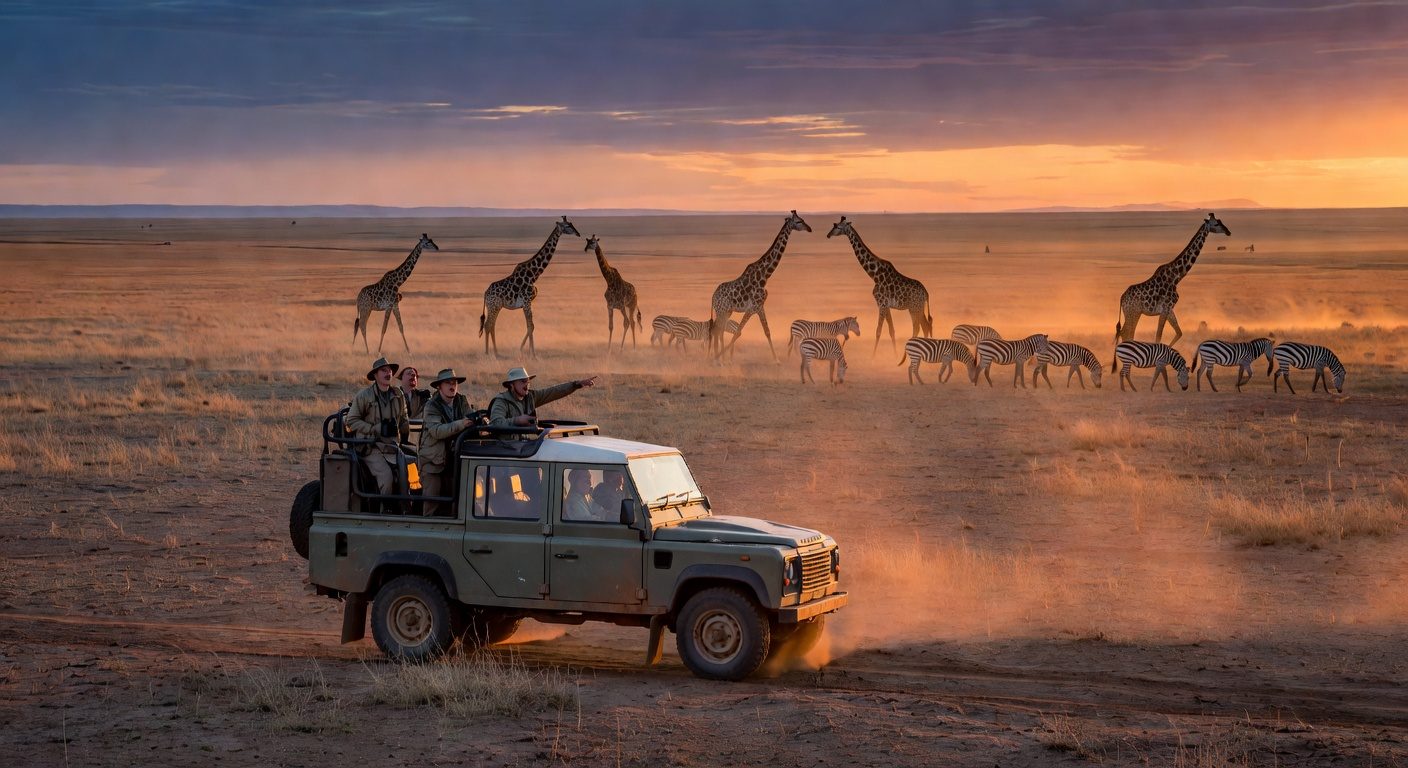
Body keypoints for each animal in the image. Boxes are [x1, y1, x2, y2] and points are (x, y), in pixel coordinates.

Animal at [478, 216, 580, 358]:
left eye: (571, 224)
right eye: (567, 226)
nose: (578, 233)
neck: (534, 274)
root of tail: (485, 294)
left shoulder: (527, 303)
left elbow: (531, 325)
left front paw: (523, 349)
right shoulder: (527, 302)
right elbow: (531, 326)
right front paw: (533, 354)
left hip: (495, 306)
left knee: (491, 325)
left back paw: (495, 352)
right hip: (494, 306)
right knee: (488, 325)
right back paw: (489, 353)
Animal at [709, 210, 812, 360]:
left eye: (803, 219)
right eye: (799, 221)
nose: (809, 229)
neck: (765, 276)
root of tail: (713, 297)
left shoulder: (760, 307)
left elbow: (767, 331)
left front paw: (777, 360)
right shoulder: (752, 307)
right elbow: (738, 332)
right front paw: (722, 356)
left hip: (727, 311)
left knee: (718, 330)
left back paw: (718, 359)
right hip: (722, 310)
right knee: (717, 330)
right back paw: (717, 358)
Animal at [826, 215, 933, 354]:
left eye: (838, 227)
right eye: (834, 225)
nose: (828, 235)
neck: (874, 275)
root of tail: (926, 293)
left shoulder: (881, 304)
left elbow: (878, 331)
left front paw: (873, 356)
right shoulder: (886, 305)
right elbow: (891, 330)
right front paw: (895, 355)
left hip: (915, 308)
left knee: (919, 327)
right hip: (917, 308)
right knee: (925, 326)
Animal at [1114, 212, 1232, 359]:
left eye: (1220, 221)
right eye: (1216, 224)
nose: (1228, 232)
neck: (1177, 277)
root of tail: (1122, 298)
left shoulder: (1170, 309)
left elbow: (1179, 333)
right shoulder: (1165, 309)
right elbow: (1158, 335)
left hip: (1131, 313)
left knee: (1126, 333)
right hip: (1133, 312)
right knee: (1127, 333)